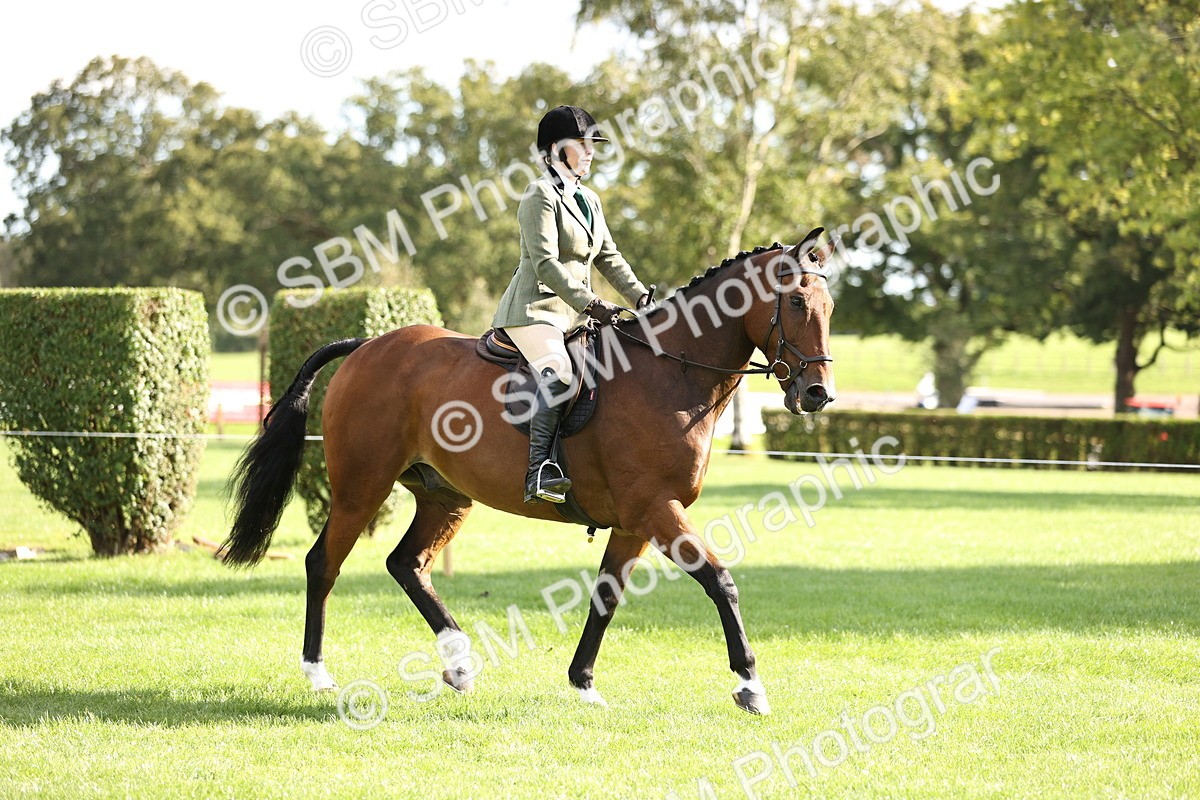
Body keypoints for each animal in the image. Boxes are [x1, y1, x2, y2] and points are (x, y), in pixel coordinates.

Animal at [222, 227, 838, 715]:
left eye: (829, 307)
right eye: (797, 303)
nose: (818, 394)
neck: (669, 374)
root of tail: (368, 345)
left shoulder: (634, 523)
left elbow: (605, 598)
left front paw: (584, 684)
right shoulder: (655, 510)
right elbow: (720, 581)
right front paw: (750, 685)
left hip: (445, 495)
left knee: (407, 565)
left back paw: (459, 665)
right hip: (360, 487)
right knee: (323, 563)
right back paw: (318, 673)